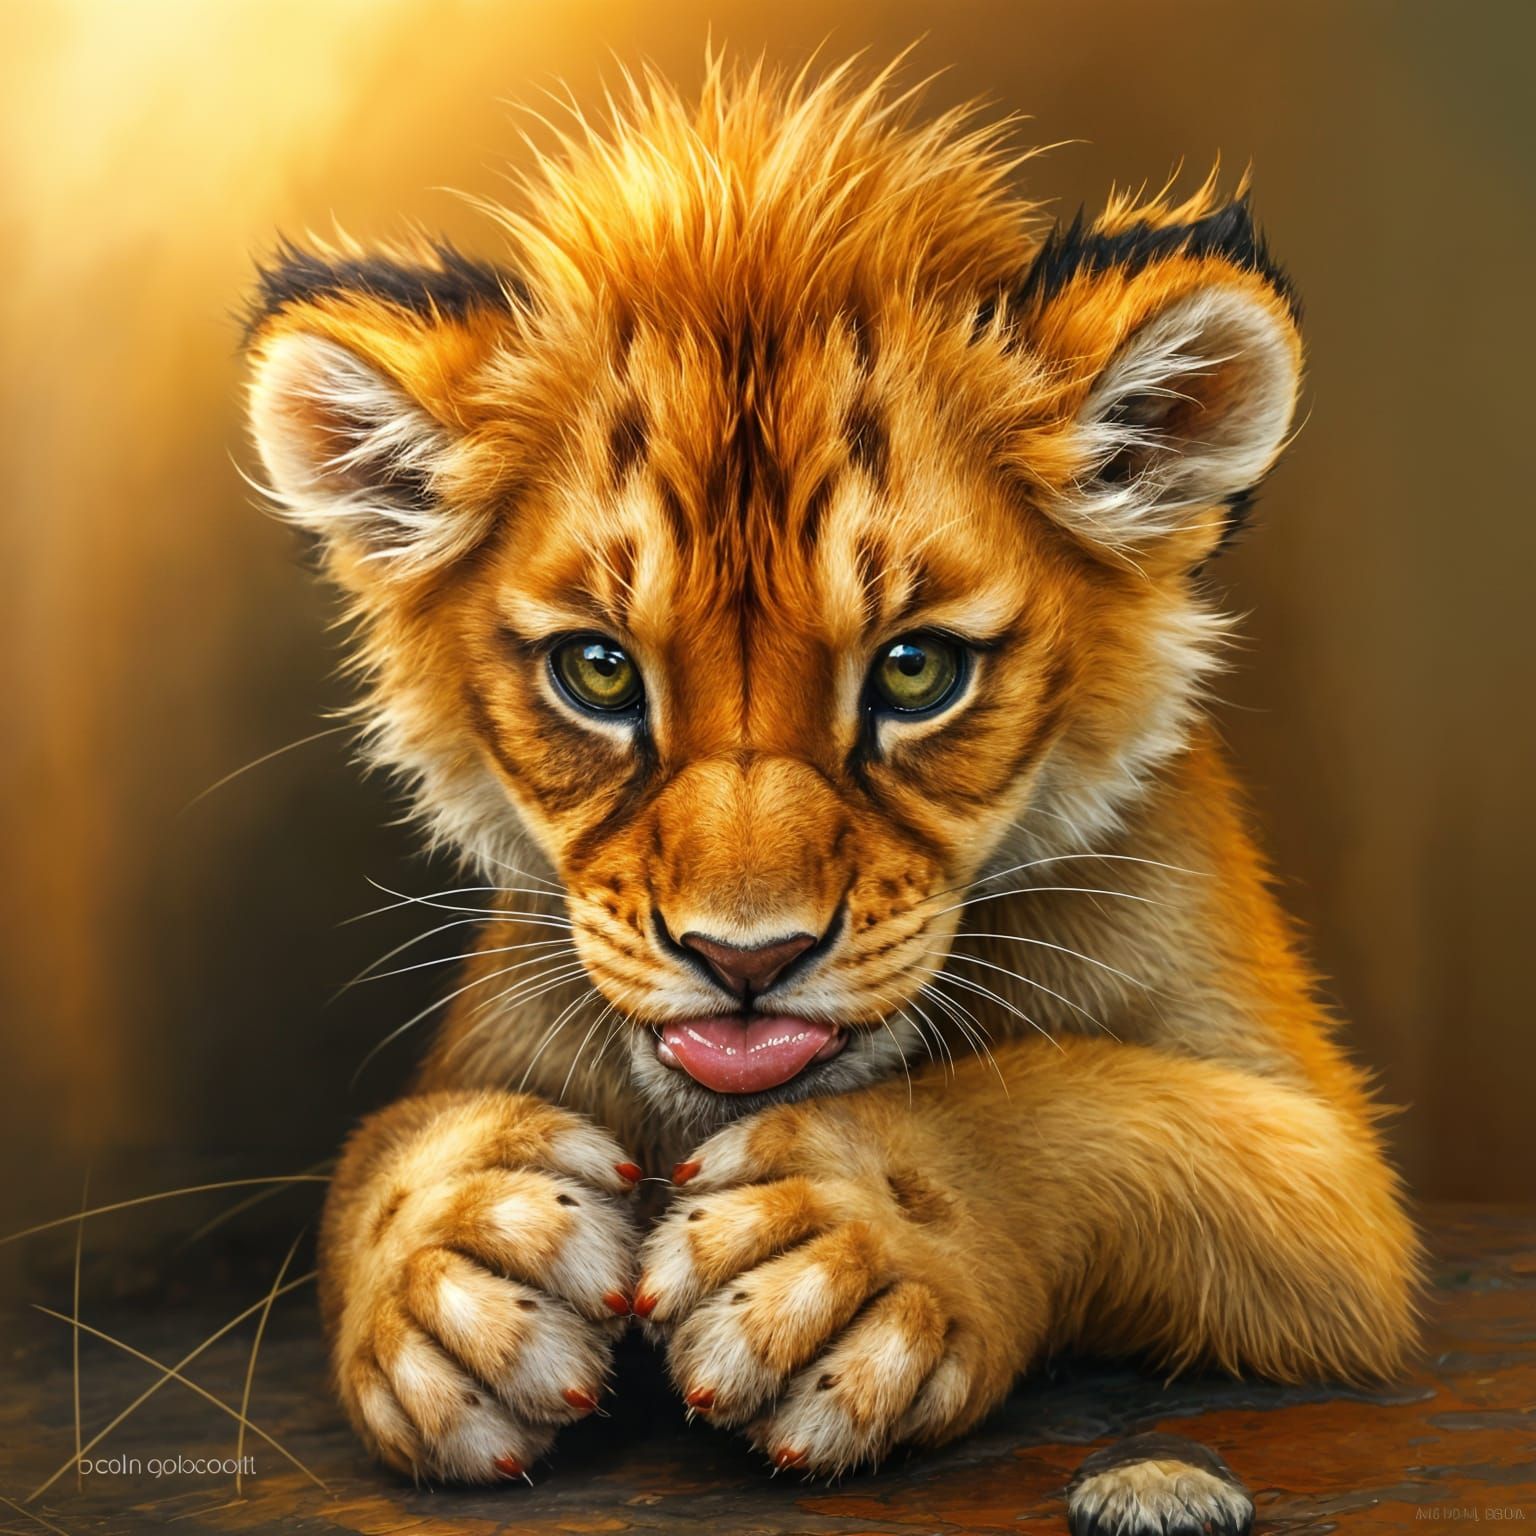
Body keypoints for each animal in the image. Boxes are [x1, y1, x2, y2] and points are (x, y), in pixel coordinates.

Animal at [242, 54, 1418, 1534]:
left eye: (916, 671)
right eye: (597, 671)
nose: (748, 963)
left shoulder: (1334, 1190)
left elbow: (1106, 1101)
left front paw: (849, 1242)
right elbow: (372, 1153)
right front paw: (456, 1268)